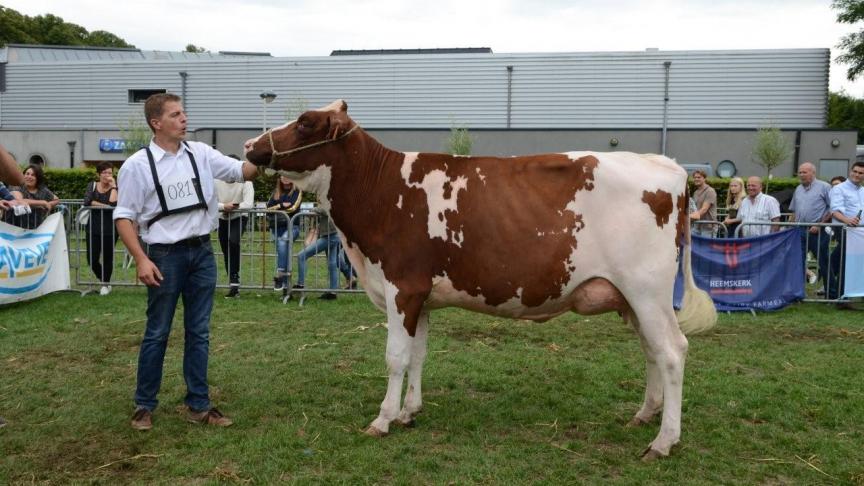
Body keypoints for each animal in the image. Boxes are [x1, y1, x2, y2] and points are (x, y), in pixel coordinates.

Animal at [245, 99, 716, 460]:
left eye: (305, 123)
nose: (250, 145)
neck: (382, 191)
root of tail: (667, 166)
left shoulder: (402, 288)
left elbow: (395, 357)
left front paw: (382, 419)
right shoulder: (422, 295)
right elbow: (418, 355)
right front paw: (409, 412)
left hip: (647, 289)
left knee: (672, 351)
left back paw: (663, 441)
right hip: (632, 298)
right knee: (652, 351)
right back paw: (645, 415)